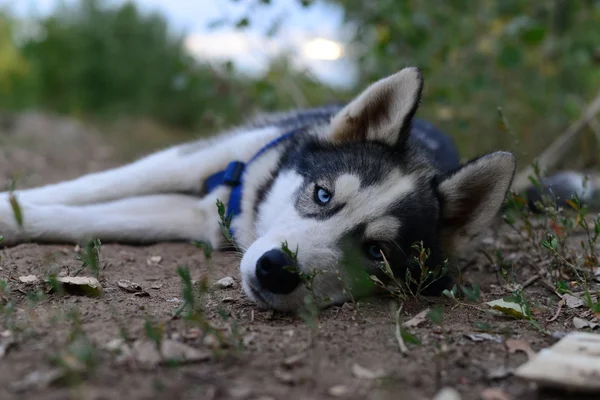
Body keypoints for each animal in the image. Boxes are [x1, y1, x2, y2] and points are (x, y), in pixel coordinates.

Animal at [0, 68, 516, 312]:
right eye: (323, 194)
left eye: (378, 252)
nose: (275, 269)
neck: (247, 205)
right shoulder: (192, 160)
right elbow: (89, 186)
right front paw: (10, 208)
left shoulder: (197, 219)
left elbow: (83, 216)